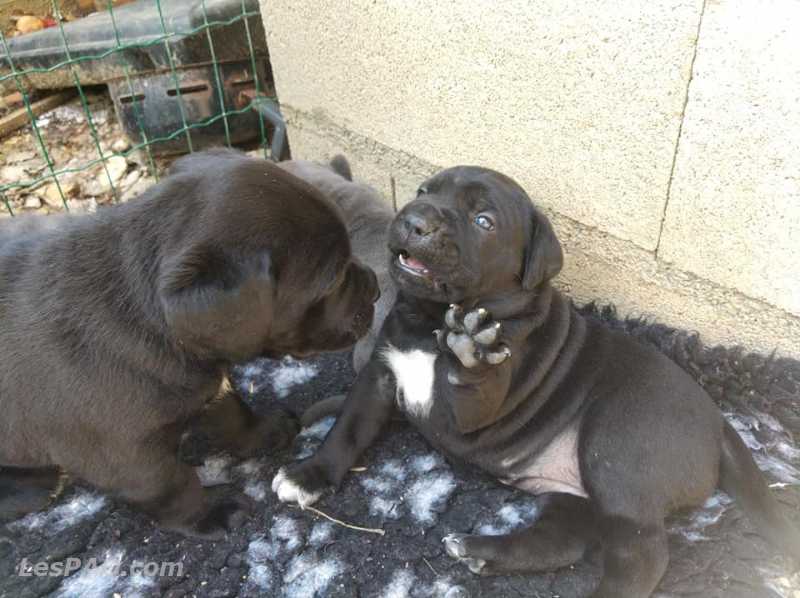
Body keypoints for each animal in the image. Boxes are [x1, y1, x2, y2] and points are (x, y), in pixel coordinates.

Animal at [0, 149, 378, 540]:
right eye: (332, 280)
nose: (377, 288)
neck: (147, 317)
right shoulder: (123, 453)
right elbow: (170, 484)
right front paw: (211, 514)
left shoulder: (209, 387)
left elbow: (234, 415)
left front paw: (267, 432)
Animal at [272, 165, 796, 598]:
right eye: (423, 191)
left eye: (484, 221)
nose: (415, 218)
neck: (431, 319)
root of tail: (719, 425)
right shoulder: (381, 375)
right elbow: (347, 429)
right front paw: (308, 473)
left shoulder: (464, 410)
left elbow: (468, 385)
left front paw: (471, 354)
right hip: (572, 496)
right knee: (562, 540)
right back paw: (482, 551)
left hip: (618, 445)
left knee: (644, 554)